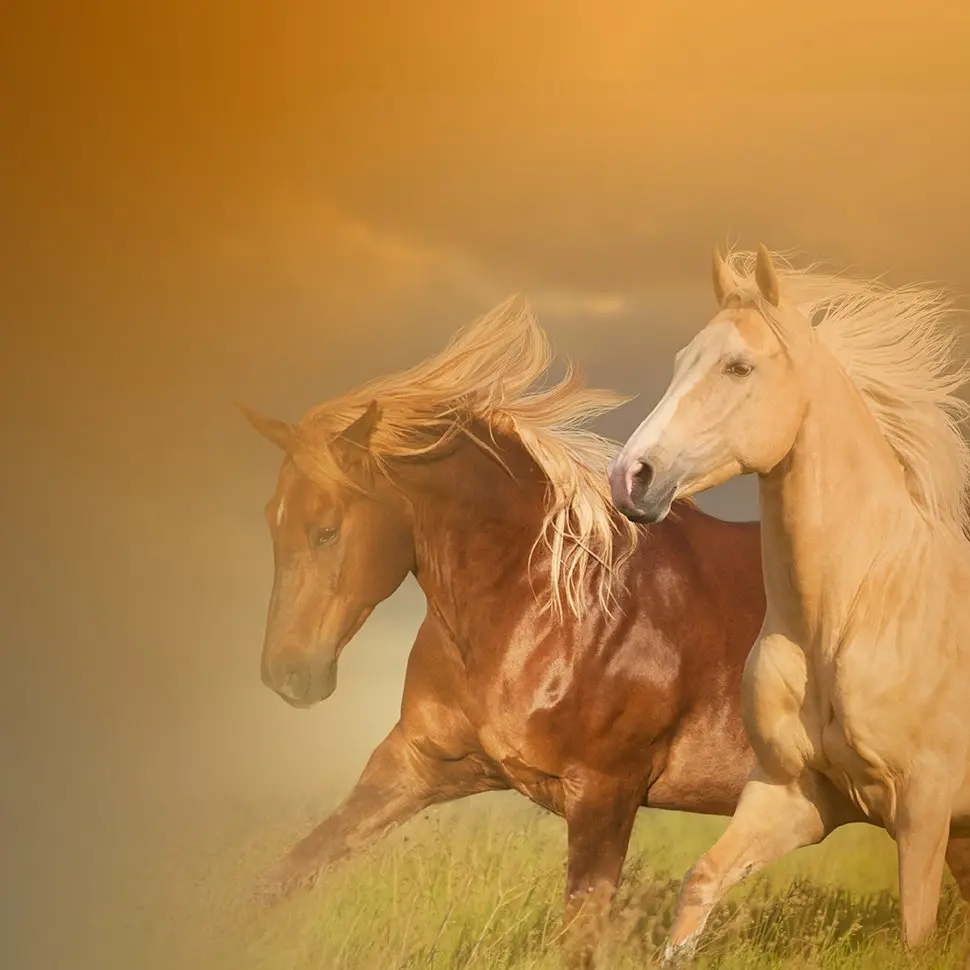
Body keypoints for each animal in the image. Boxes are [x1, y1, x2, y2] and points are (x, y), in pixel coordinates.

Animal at [239, 297, 768, 963]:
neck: (546, 609)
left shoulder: (605, 795)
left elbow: (580, 940)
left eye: (326, 529)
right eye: (271, 519)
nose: (286, 674)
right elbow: (285, 875)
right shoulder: (416, 763)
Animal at [608, 244, 970, 962]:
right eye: (680, 360)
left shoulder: (924, 808)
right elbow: (702, 882)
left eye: (739, 366)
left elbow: (915, 933)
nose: (630, 477)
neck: (848, 616)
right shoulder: (794, 794)